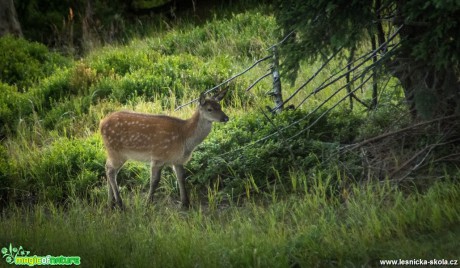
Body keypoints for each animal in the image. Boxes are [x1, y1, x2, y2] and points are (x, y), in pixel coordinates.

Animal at [101, 88, 230, 209]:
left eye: (220, 106)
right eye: (210, 109)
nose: (226, 118)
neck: (184, 137)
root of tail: (101, 124)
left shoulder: (178, 160)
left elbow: (181, 178)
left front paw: (186, 203)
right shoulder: (158, 156)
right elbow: (154, 181)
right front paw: (148, 203)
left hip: (115, 153)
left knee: (109, 169)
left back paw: (110, 203)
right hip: (116, 151)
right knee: (110, 170)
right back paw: (120, 203)